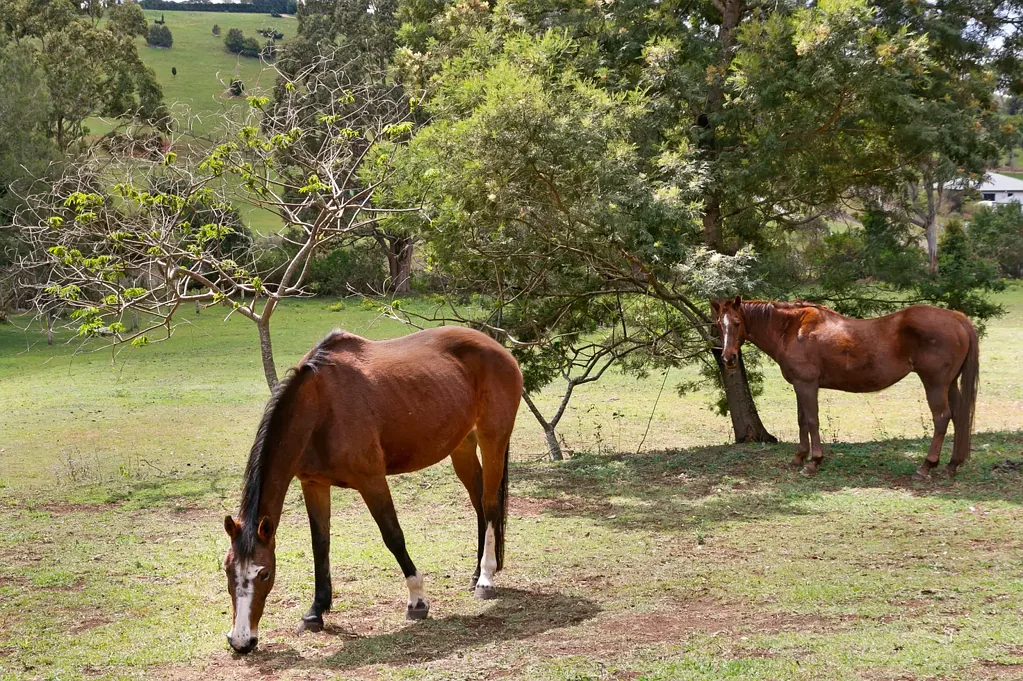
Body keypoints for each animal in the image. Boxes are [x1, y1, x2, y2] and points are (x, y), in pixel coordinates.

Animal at [221, 326, 523, 654]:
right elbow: (320, 545)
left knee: (490, 503)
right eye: (227, 570)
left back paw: (485, 578)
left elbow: (393, 536)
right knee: (479, 503)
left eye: (264, 573)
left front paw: (417, 599)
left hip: (493, 439)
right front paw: (316, 611)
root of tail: (498, 348)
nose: (241, 641)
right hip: (462, 446)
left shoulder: (372, 480)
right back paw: (476, 572)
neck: (320, 405)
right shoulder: (314, 484)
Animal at [711, 296, 978, 479]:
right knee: (958, 416)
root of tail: (956, 317)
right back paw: (952, 465)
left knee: (941, 418)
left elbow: (812, 421)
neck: (793, 328)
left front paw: (813, 462)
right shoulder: (799, 385)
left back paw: (926, 466)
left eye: (737, 323)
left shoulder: (807, 385)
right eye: (719, 325)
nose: (728, 358)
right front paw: (799, 457)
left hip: (935, 384)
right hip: (949, 384)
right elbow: (801, 420)